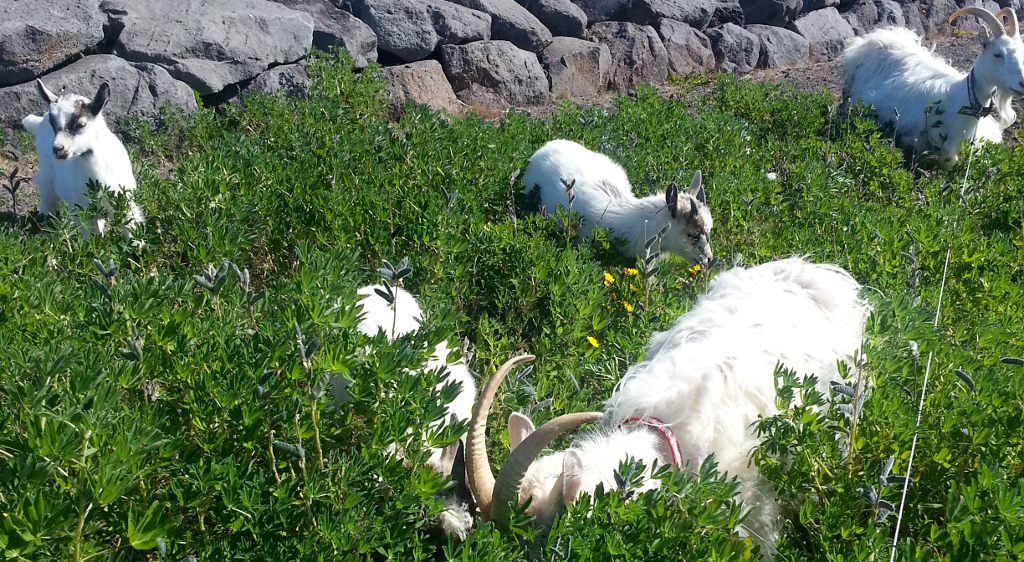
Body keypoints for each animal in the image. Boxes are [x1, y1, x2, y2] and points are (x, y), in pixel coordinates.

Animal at [22, 79, 143, 238]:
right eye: (52, 124)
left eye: (81, 124)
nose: (58, 149)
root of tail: (37, 122)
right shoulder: (83, 212)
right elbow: (92, 239)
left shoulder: (125, 204)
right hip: (47, 176)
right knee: (48, 200)